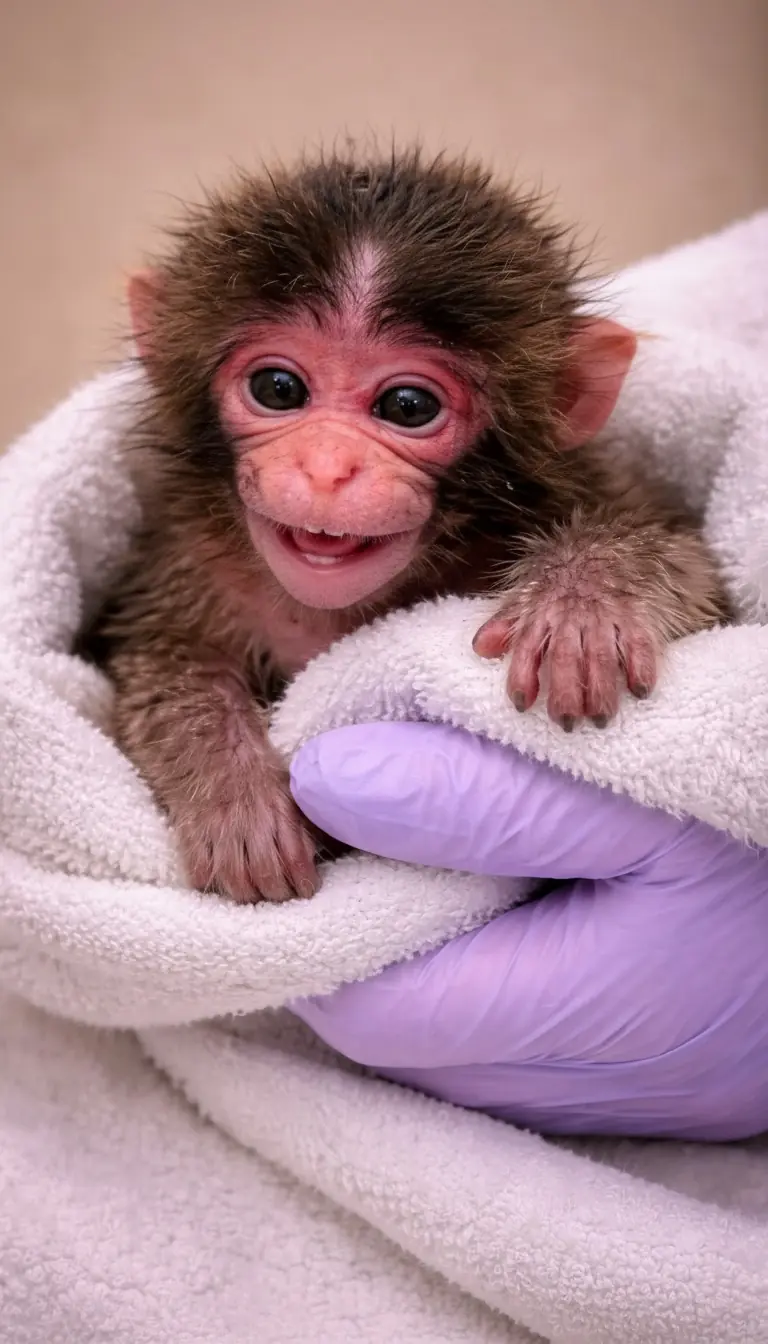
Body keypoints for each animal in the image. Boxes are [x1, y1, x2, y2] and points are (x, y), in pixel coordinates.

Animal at [88, 147, 728, 906]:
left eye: (407, 406)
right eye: (278, 389)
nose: (327, 468)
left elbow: (700, 573)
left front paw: (582, 600)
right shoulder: (189, 554)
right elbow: (160, 661)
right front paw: (231, 785)